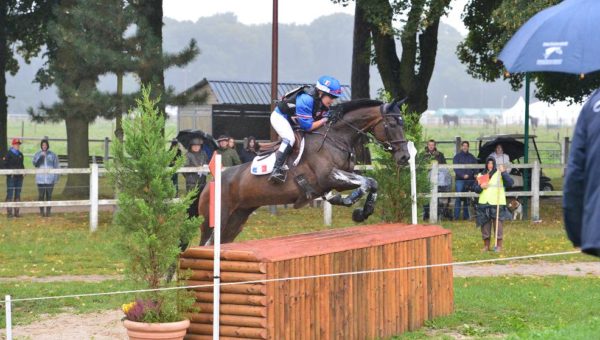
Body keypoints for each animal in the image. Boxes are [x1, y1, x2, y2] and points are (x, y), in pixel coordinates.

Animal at [199, 98, 410, 244]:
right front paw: (351, 204)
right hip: (218, 219)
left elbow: (372, 183)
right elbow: (367, 182)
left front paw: (362, 211)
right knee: (206, 244)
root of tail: (209, 185)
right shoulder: (329, 177)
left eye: (403, 124)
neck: (336, 138)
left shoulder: (339, 181)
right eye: (392, 124)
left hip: (237, 219)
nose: (405, 157)